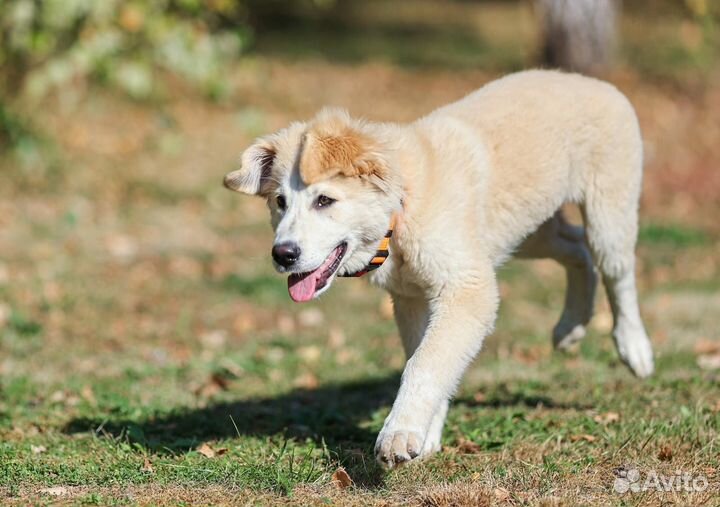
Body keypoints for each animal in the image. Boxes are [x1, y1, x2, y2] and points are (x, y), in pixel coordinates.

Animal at [224, 70, 652, 468]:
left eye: (324, 200)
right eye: (279, 202)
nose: (283, 255)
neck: (402, 208)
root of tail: (593, 82)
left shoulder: (469, 288)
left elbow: (425, 363)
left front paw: (399, 433)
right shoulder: (412, 298)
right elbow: (429, 356)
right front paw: (425, 432)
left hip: (606, 215)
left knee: (617, 270)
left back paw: (634, 347)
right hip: (525, 230)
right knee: (577, 248)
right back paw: (571, 326)